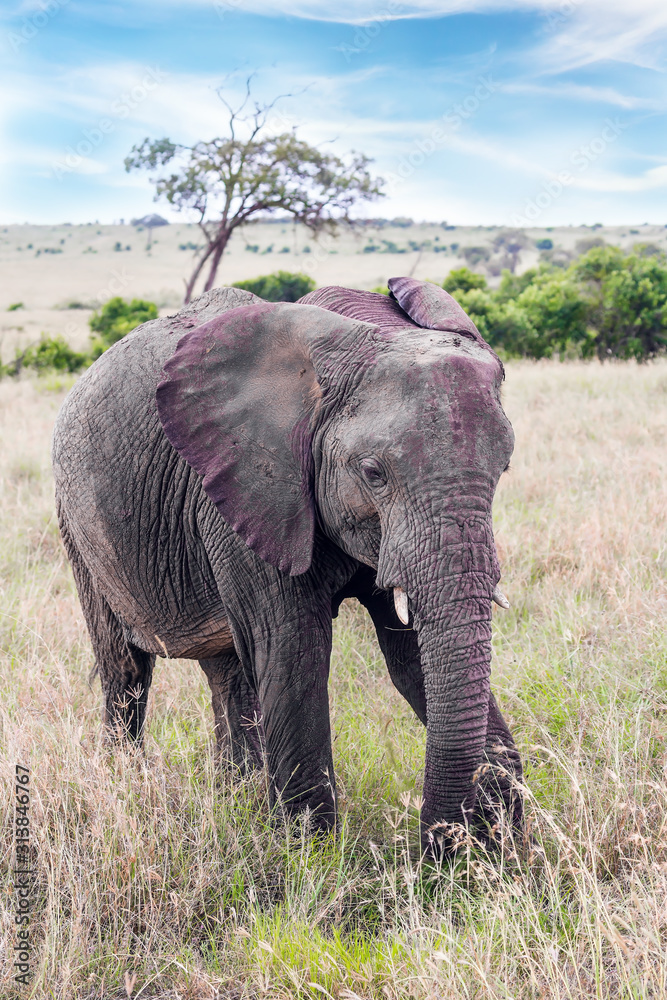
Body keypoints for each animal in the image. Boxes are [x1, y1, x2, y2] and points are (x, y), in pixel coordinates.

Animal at [52, 276, 523, 854]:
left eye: (504, 465)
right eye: (373, 473)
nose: (437, 848)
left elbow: (411, 654)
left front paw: (497, 846)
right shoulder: (241, 490)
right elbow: (293, 648)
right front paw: (309, 855)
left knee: (227, 672)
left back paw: (236, 795)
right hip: (78, 524)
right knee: (125, 671)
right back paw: (129, 784)